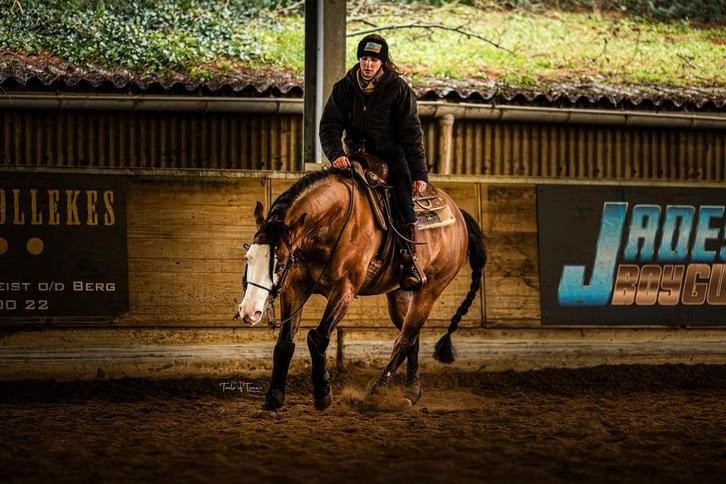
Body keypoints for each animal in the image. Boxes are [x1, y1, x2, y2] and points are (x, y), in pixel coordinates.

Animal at [236, 166, 486, 412]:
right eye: (248, 257)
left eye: (279, 264)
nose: (248, 312)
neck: (333, 222)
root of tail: (459, 215)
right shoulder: (294, 288)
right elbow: (285, 342)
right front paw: (274, 396)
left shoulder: (344, 290)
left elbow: (318, 337)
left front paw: (323, 393)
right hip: (399, 294)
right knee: (411, 338)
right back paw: (411, 392)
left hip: (430, 290)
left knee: (404, 340)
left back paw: (375, 393)